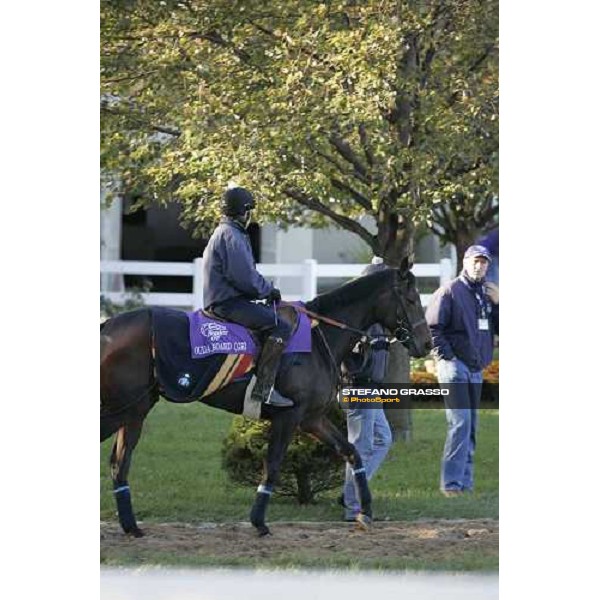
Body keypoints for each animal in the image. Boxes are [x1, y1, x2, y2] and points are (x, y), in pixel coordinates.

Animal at [101, 260, 434, 536]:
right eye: (411, 298)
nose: (427, 343)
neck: (319, 338)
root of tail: (108, 326)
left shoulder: (312, 419)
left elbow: (352, 452)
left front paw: (365, 511)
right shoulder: (289, 417)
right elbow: (272, 464)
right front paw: (259, 521)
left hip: (133, 410)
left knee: (119, 463)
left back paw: (131, 527)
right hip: (126, 408)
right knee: (119, 462)